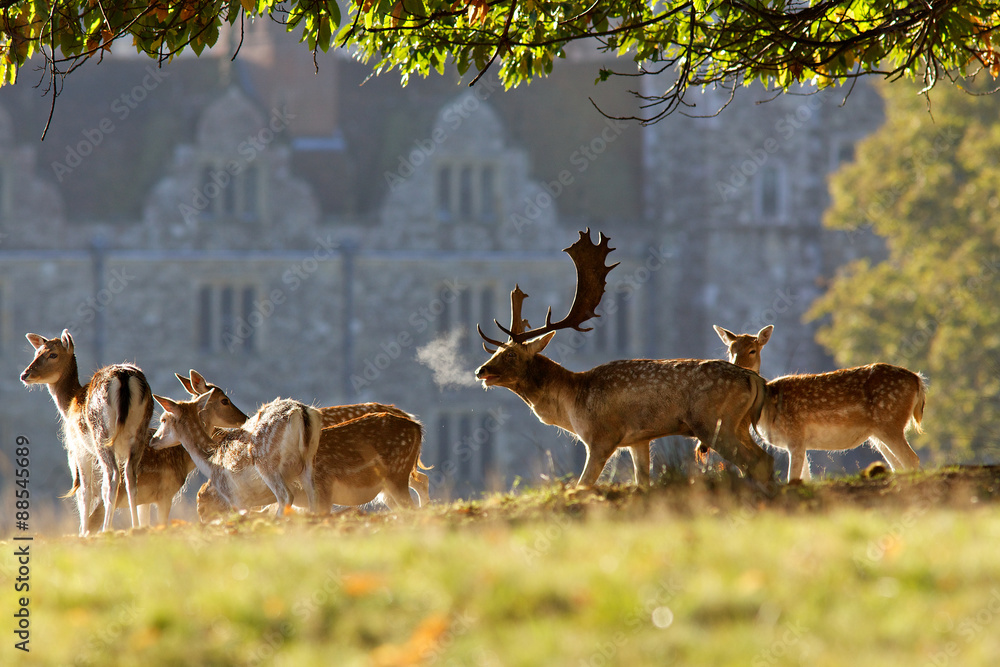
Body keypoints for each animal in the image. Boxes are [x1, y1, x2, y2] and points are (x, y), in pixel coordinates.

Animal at [21, 330, 153, 535]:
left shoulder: (78, 448)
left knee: (112, 477)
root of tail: (124, 377)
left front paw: (82, 532)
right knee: (130, 476)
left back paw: (106, 528)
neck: (69, 404)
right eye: (37, 352)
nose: (25, 374)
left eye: (53, 354)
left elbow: (84, 490)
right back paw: (136, 526)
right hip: (139, 431)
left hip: (101, 434)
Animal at [150, 390, 321, 516]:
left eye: (164, 419)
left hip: (267, 463)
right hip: (308, 461)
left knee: (285, 496)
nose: (153, 440)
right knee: (314, 497)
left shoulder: (236, 497)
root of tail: (300, 412)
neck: (211, 462)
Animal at [195, 411, 427, 521]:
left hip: (398, 473)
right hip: (388, 488)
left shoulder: (324, 488)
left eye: (204, 505)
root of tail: (418, 427)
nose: (203, 523)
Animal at [475, 229, 775, 488]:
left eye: (511, 354)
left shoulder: (602, 437)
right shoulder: (638, 440)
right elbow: (642, 481)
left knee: (755, 461)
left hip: (714, 422)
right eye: (496, 351)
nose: (481, 371)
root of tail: (755, 378)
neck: (571, 403)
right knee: (765, 458)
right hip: (740, 424)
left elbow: (584, 484)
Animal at [714, 324, 925, 481]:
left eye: (752, 350)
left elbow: (793, 477)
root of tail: (917, 380)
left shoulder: (795, 435)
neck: (767, 406)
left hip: (890, 423)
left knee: (912, 459)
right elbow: (805, 478)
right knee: (897, 465)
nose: (737, 368)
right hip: (877, 434)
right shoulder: (799, 443)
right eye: (730, 350)